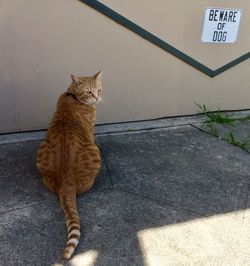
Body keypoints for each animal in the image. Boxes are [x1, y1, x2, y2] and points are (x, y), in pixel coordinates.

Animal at [35, 70, 103, 260]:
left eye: (99, 90)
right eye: (89, 92)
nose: (97, 98)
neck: (72, 96)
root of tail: (66, 180)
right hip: (95, 153)